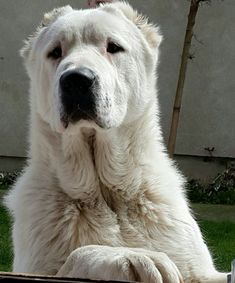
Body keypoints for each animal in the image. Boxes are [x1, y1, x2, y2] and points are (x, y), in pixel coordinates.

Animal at [4, 2, 228, 283]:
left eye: (113, 47)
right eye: (55, 52)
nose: (76, 80)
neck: (106, 195)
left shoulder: (204, 273)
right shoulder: (35, 270)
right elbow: (76, 256)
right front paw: (134, 257)